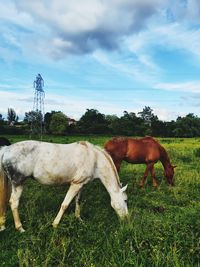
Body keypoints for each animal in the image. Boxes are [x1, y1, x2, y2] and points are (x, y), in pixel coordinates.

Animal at [0, 140, 128, 232]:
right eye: (126, 200)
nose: (127, 218)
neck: (95, 159)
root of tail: (6, 149)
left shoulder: (81, 184)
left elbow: (78, 201)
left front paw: (78, 219)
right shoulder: (75, 184)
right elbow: (65, 204)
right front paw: (55, 224)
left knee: (5, 201)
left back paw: (3, 225)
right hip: (18, 183)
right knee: (13, 203)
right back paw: (20, 228)